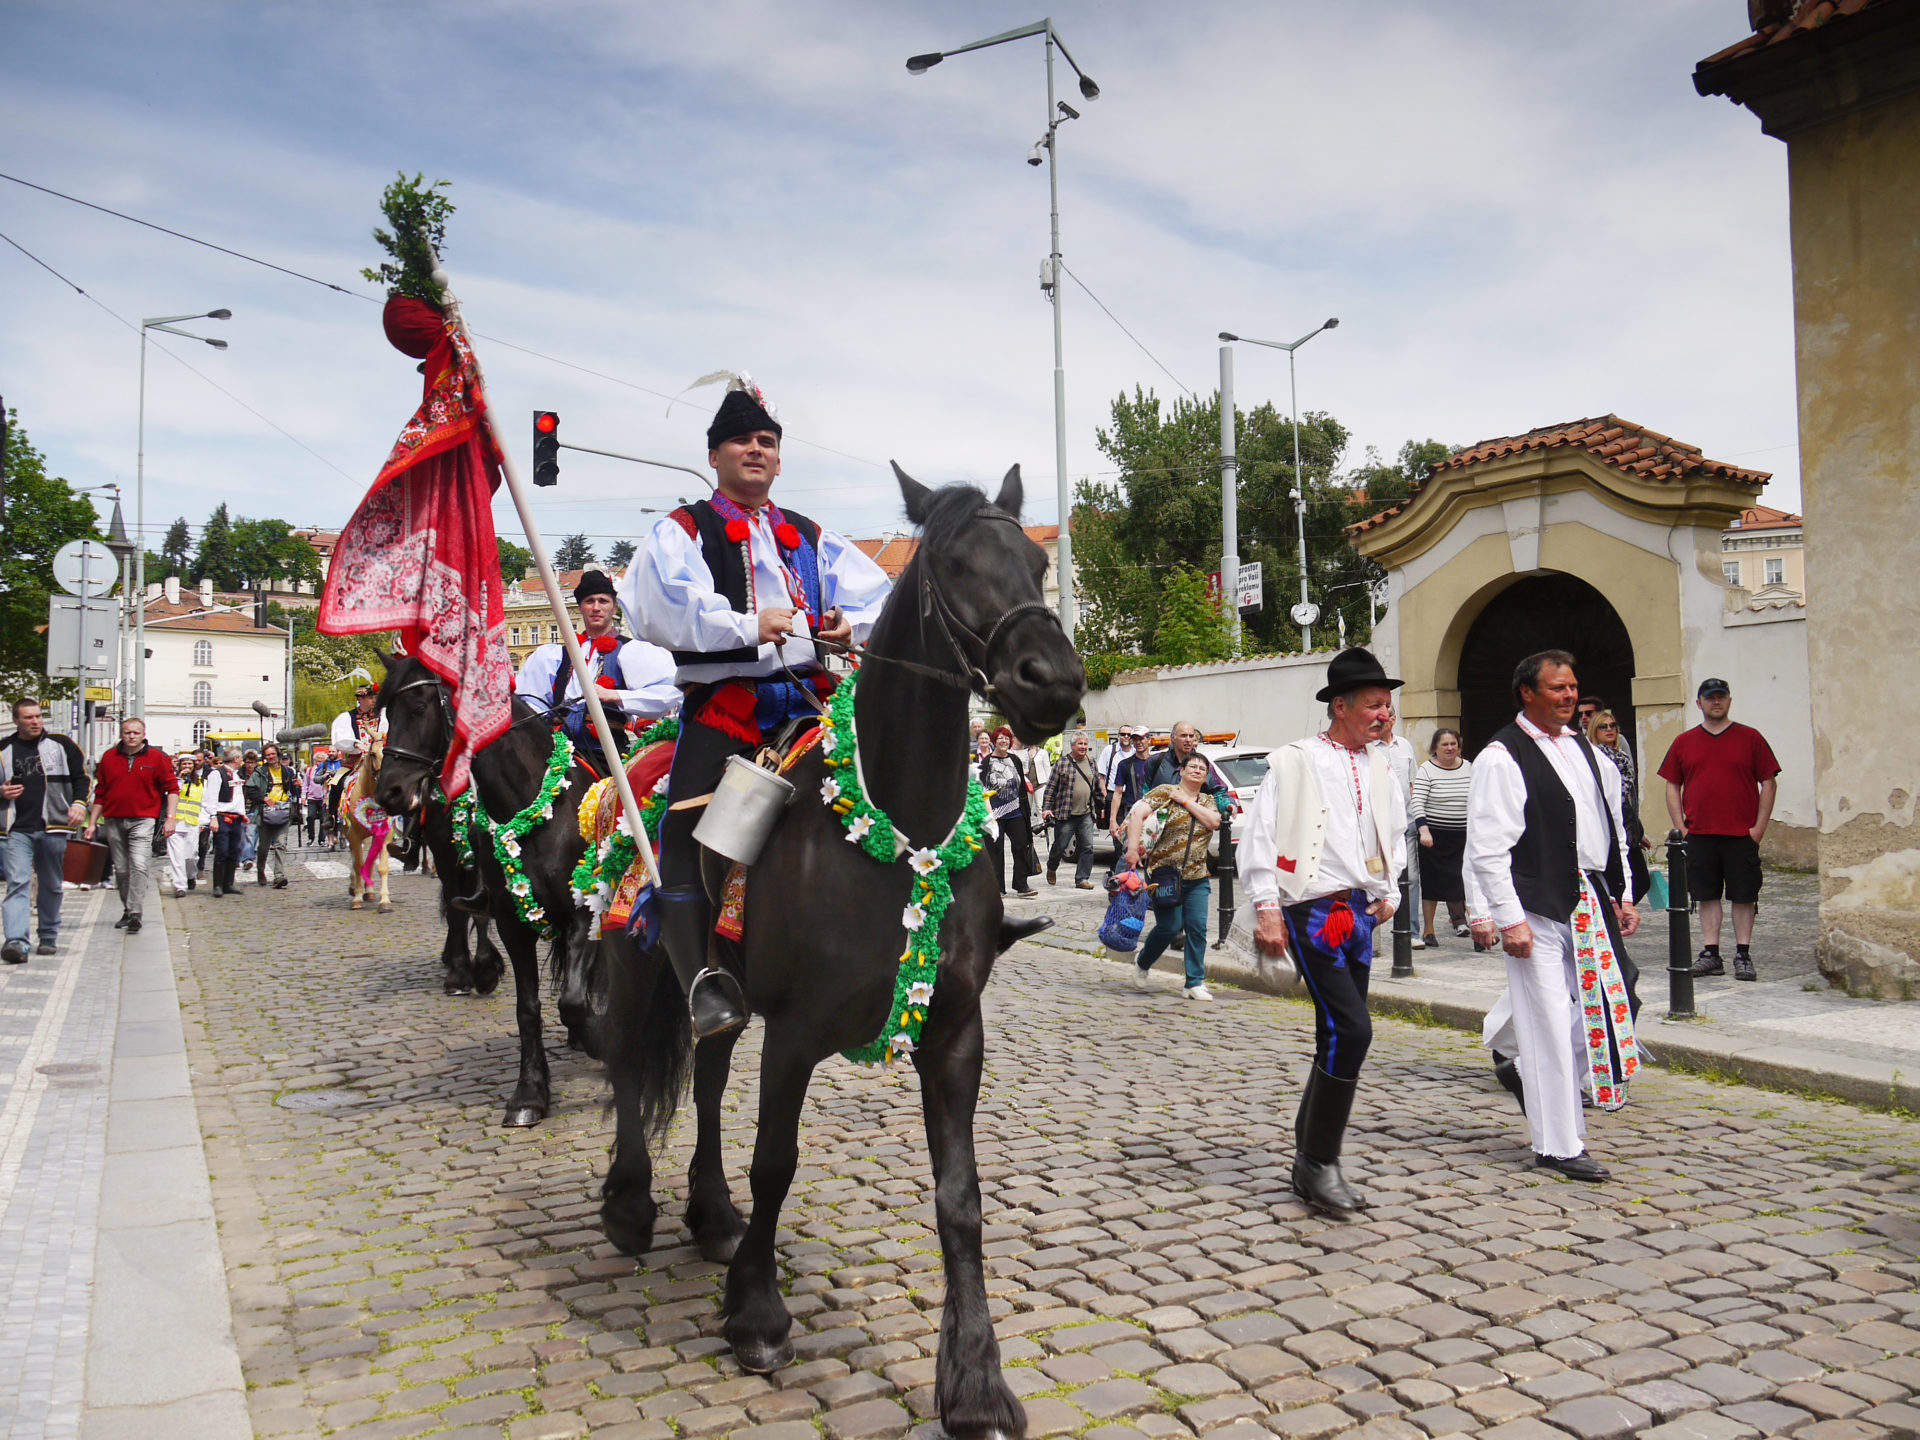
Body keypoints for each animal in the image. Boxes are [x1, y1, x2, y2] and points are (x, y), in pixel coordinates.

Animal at [380, 664, 602, 1128]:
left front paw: (599, 1038)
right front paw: (529, 1094)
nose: (388, 791)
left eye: (420, 706)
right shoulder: (507, 915)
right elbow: (528, 1009)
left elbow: (572, 1000)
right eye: (386, 710)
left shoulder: (584, 914)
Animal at [599, 468, 1090, 1436]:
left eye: (1037, 562)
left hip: (722, 991)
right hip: (643, 964)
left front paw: (975, 1381)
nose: (1051, 682)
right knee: (634, 1069)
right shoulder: (795, 1033)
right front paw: (757, 1313)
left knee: (705, 1080)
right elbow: (776, 1162)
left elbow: (960, 1198)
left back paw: (710, 1213)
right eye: (952, 563)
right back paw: (632, 1202)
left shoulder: (955, 1034)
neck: (900, 829)